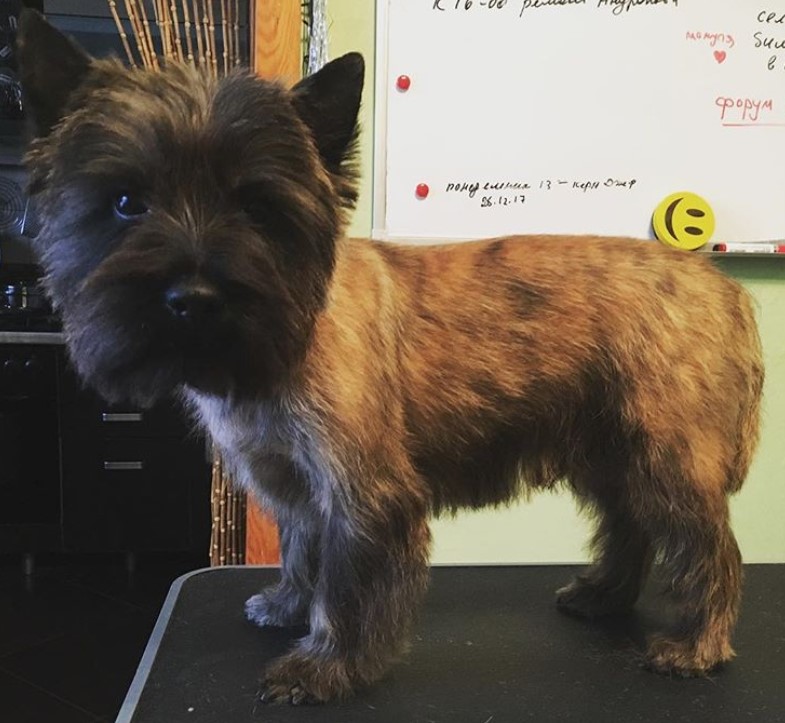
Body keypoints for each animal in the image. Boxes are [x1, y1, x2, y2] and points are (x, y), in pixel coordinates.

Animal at [18, 8, 764, 704]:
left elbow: (344, 585)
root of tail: (722, 287)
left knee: (707, 548)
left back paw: (696, 644)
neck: (296, 329)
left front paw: (325, 665)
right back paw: (602, 596)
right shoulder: (296, 486)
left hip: (666, 460)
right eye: (126, 202)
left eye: (257, 208)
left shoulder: (363, 493)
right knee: (631, 528)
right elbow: (301, 551)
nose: (192, 297)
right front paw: (288, 604)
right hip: (613, 456)